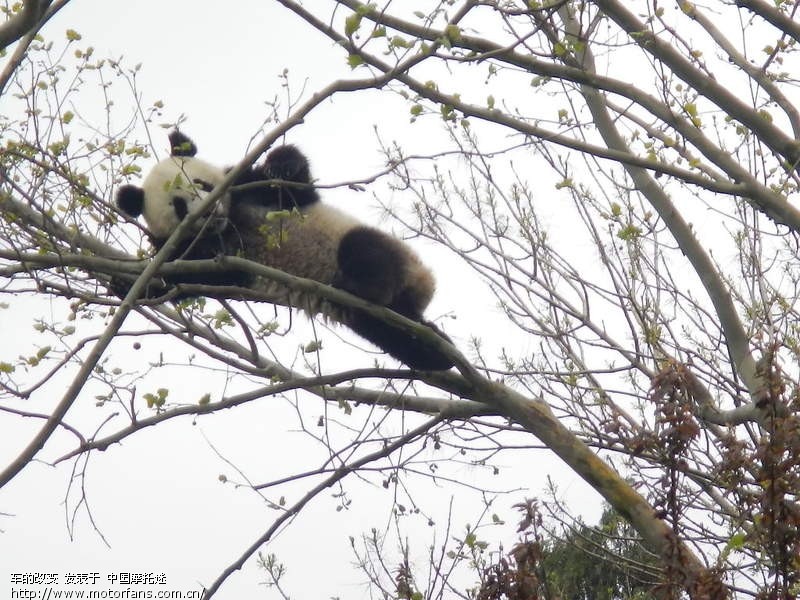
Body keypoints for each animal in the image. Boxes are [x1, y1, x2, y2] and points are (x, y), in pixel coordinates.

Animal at [117, 131, 456, 370]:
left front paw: (281, 164)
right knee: (397, 336)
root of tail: (419, 289)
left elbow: (293, 188)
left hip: (375, 248)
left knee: (364, 250)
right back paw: (436, 351)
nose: (210, 213)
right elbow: (198, 276)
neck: (230, 223)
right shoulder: (207, 256)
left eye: (199, 183)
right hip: (378, 321)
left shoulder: (251, 189)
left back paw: (360, 286)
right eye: (178, 206)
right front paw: (128, 284)